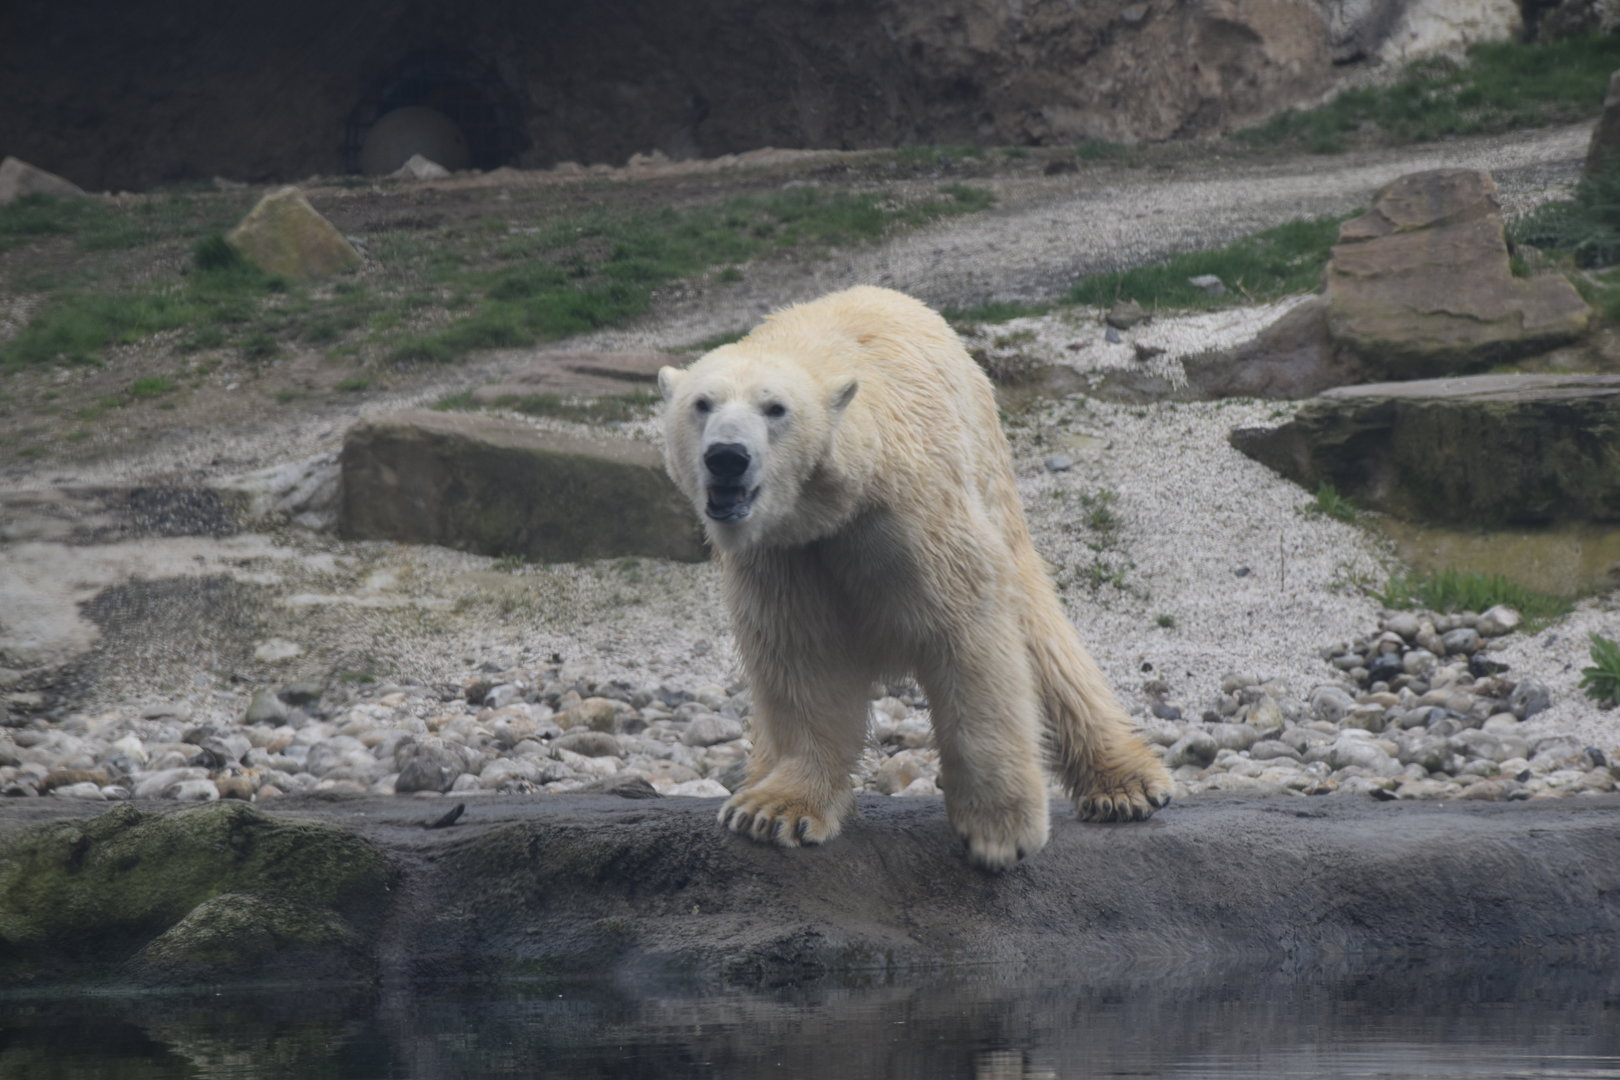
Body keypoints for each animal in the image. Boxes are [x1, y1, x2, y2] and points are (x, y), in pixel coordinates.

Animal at [658, 286, 1171, 870]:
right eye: (702, 404)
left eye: (775, 408)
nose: (727, 457)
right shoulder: (784, 553)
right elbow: (799, 657)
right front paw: (773, 810)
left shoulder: (914, 518)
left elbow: (969, 640)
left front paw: (1000, 832)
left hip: (993, 482)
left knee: (1044, 642)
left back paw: (1126, 786)